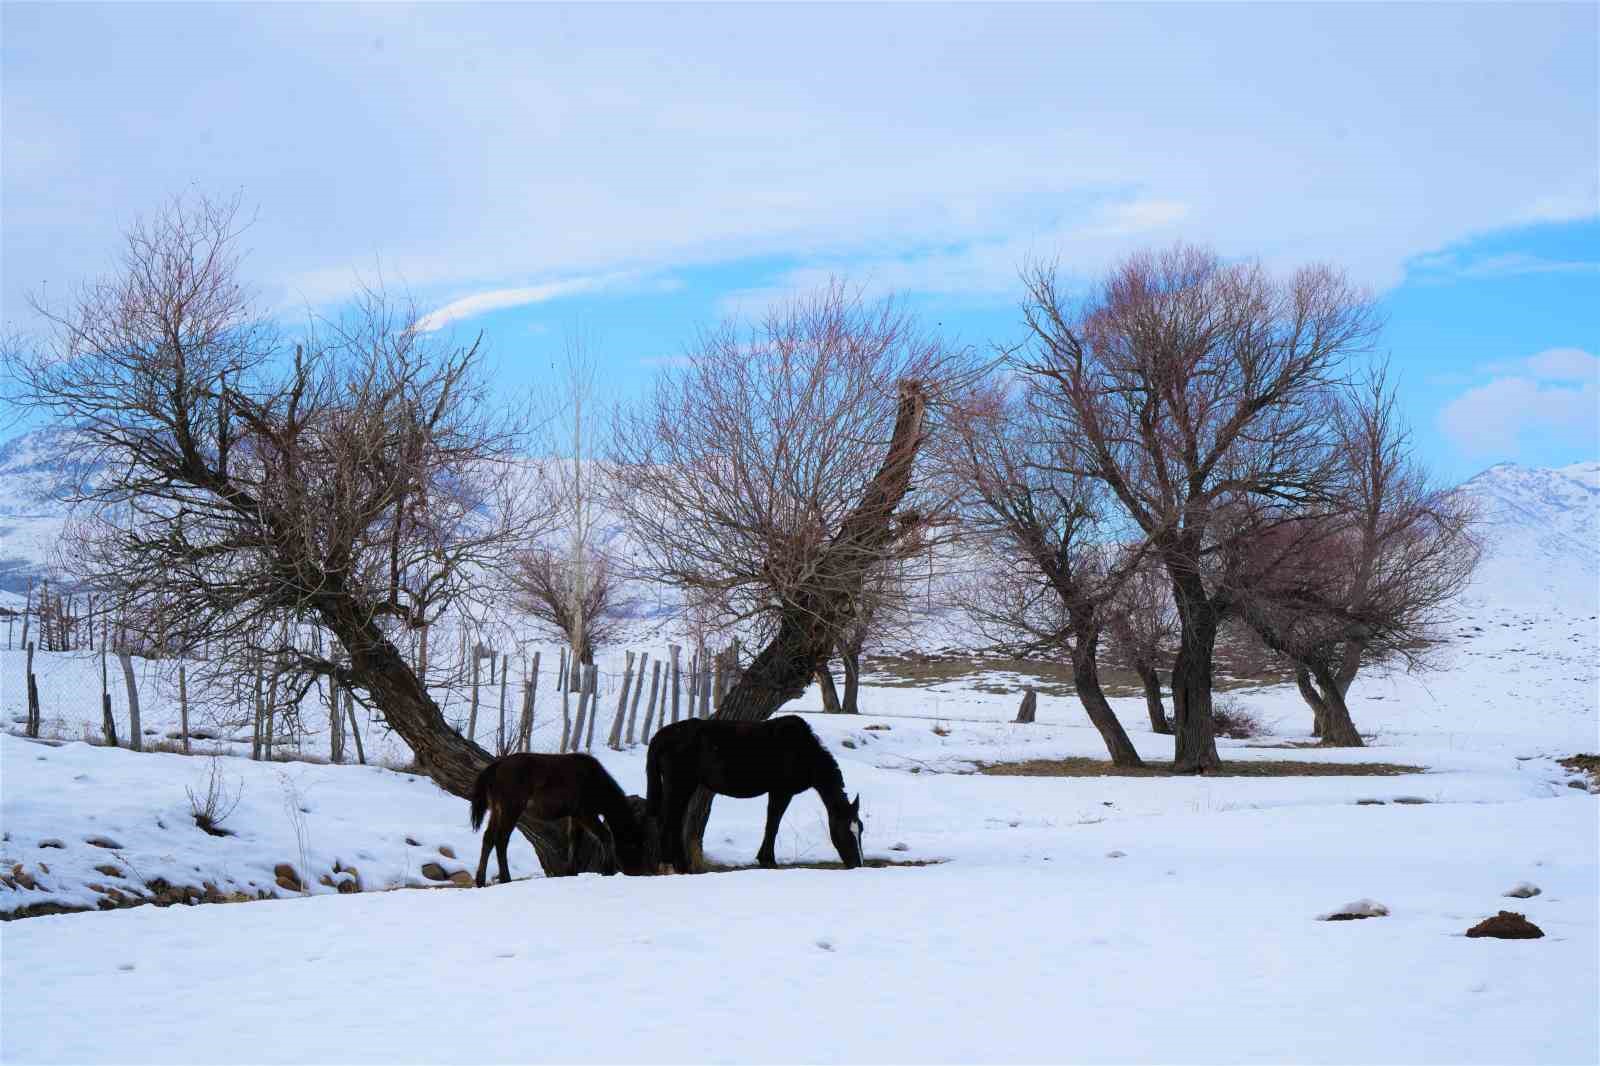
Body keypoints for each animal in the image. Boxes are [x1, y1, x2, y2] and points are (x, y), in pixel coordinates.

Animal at [470, 745, 652, 877]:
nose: (638, 871)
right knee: (501, 840)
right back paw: (505, 878)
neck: (596, 784)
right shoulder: (585, 813)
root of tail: (495, 766)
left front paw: (571, 872)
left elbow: (574, 840)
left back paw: (480, 880)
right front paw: (607, 870)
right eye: (634, 844)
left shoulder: (575, 815)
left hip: (497, 809)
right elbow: (605, 835)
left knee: (488, 838)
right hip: (511, 808)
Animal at [643, 713, 864, 870]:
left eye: (860, 829)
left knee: (673, 821)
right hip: (679, 784)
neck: (805, 752)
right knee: (667, 822)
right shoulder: (781, 792)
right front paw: (768, 860)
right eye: (846, 830)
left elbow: (771, 823)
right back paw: (674, 865)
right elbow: (773, 824)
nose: (857, 864)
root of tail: (659, 737)